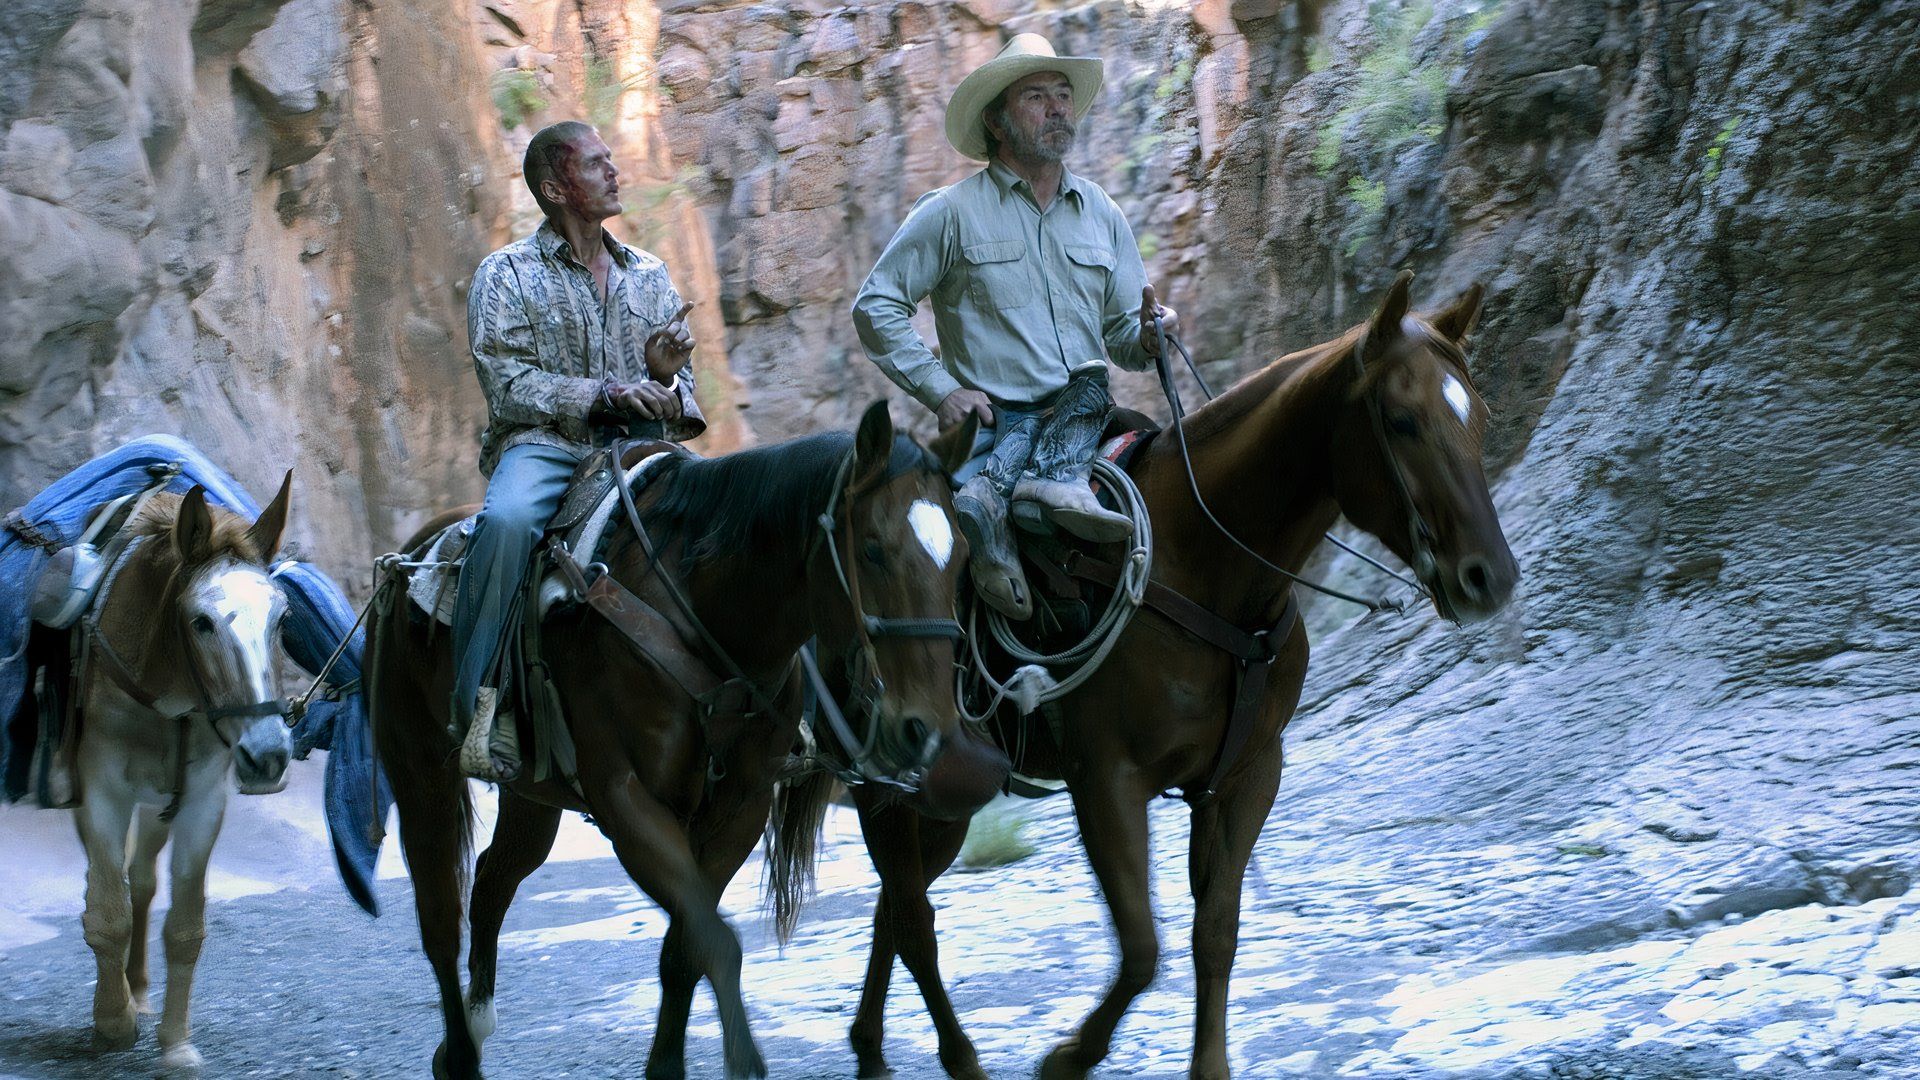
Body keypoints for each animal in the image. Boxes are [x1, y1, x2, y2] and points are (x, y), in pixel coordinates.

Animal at [366, 403, 975, 1076]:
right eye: (871, 550)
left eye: (962, 557)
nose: (927, 730)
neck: (707, 616)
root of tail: (406, 562)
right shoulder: (627, 801)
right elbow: (714, 940)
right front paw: (743, 1061)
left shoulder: (737, 809)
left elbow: (684, 947)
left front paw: (666, 1065)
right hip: (418, 770)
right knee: (440, 918)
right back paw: (459, 1054)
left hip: (532, 796)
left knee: (494, 880)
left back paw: (472, 1028)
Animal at [833, 272, 1520, 1068]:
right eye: (1402, 420)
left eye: (1479, 417)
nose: (1489, 577)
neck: (1208, 569)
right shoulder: (1106, 782)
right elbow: (1142, 950)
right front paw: (1067, 1058)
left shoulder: (1246, 776)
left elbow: (1214, 936)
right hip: (886, 788)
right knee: (912, 920)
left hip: (944, 801)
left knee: (895, 909)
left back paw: (869, 1045)